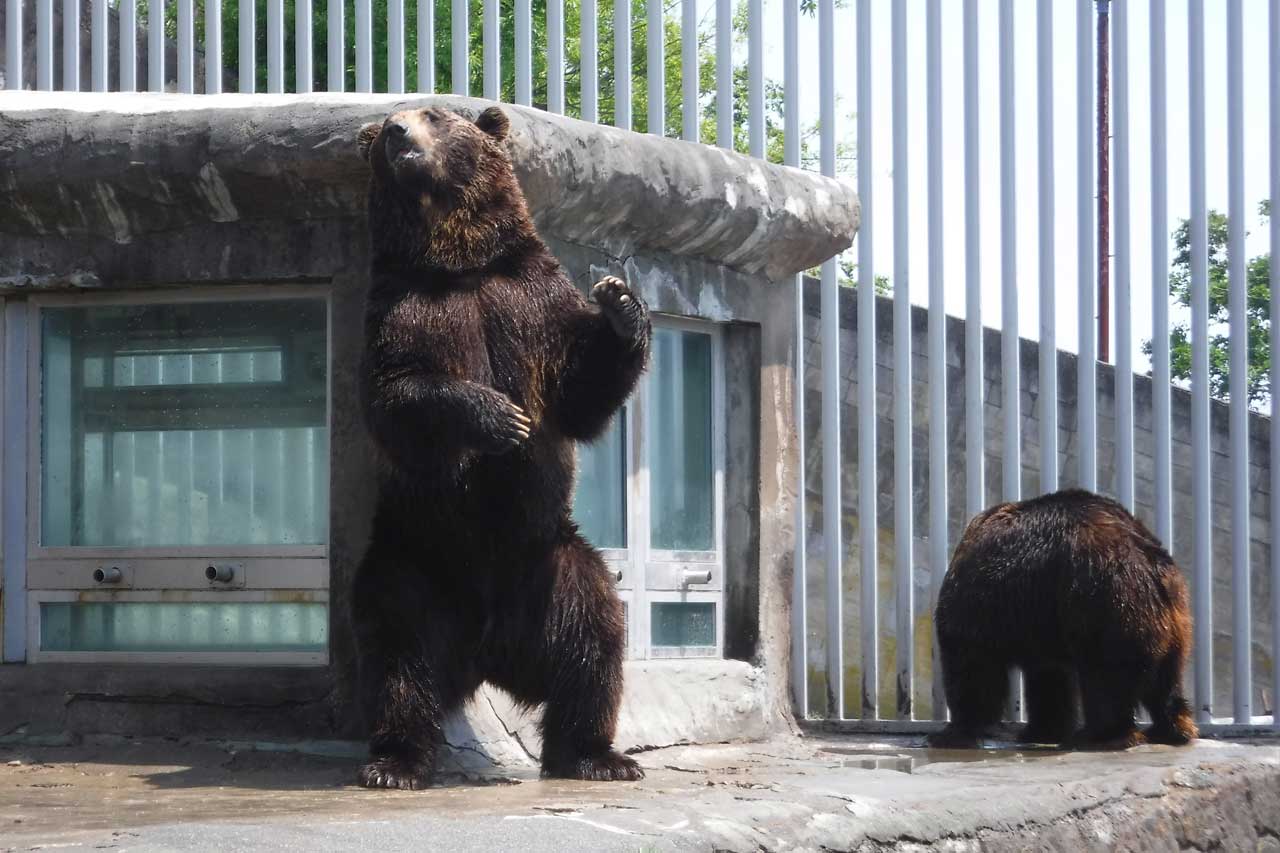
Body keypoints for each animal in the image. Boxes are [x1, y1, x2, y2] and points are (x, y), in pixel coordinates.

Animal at [350, 106, 650, 788]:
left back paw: (597, 755)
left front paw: (621, 303)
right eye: (389, 121)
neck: (458, 264)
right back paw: (395, 760)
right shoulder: (400, 307)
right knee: (396, 650)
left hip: (549, 564)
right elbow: (397, 393)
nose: (396, 133)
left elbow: (579, 391)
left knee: (594, 636)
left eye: (434, 115)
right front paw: (500, 418)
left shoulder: (531, 299)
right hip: (414, 560)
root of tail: (487, 650)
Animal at [926, 489, 1192, 747]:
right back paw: (1172, 728)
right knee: (1166, 679)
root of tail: (1149, 563)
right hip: (1172, 618)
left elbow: (971, 664)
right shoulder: (1041, 622)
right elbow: (1050, 677)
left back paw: (1102, 734)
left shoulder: (981, 607)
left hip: (1106, 602)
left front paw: (954, 731)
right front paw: (1043, 730)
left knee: (1106, 675)